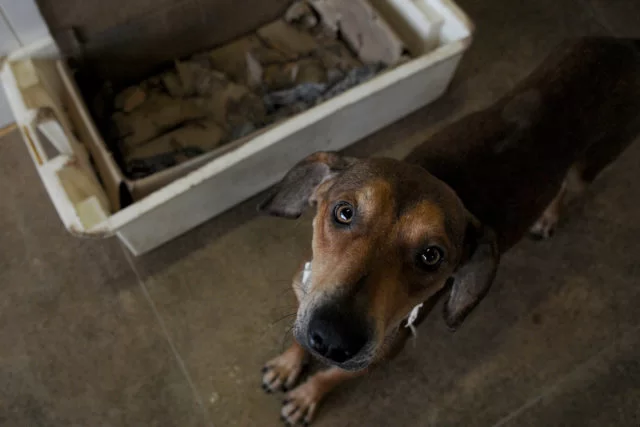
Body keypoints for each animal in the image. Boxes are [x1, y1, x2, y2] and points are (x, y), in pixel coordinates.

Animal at [258, 38, 636, 426]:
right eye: (344, 212)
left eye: (431, 256)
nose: (334, 340)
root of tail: (627, 44)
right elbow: (298, 340)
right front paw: (288, 366)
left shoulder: (381, 354)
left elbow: (331, 376)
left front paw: (306, 396)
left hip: (592, 163)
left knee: (569, 186)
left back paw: (549, 217)